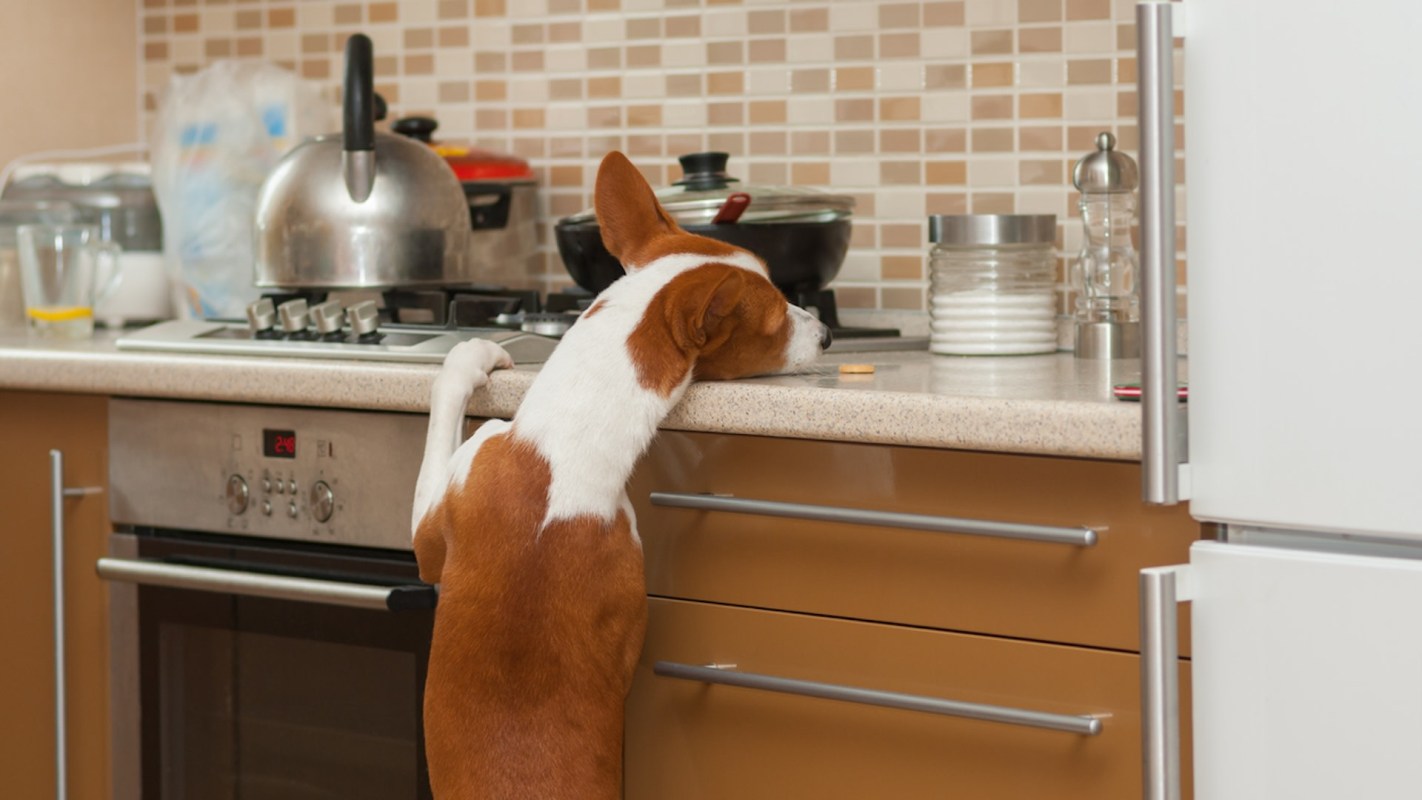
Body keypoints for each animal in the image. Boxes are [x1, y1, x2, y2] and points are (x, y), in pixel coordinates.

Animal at [412, 152, 830, 800]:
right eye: (777, 319)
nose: (829, 334)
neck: (563, 446)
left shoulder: (429, 535)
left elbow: (447, 385)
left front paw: (474, 351)